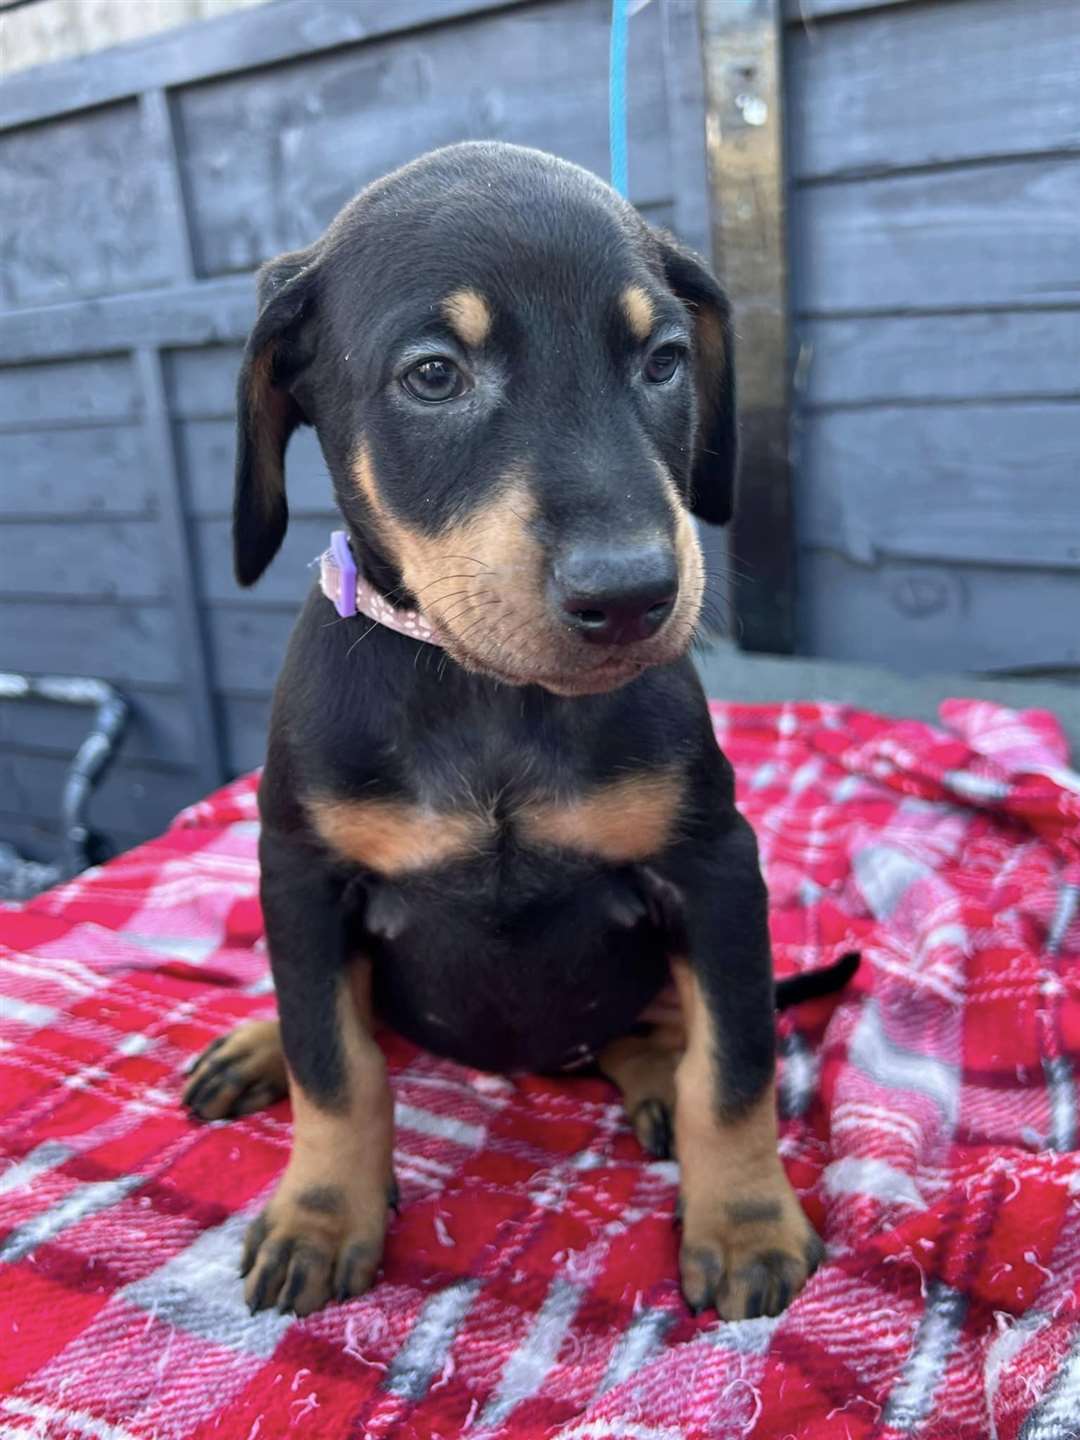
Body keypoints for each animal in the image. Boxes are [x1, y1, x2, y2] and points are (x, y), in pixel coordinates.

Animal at [185, 140, 823, 1319]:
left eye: (665, 360)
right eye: (435, 374)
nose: (632, 596)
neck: (489, 694)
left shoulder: (715, 867)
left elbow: (735, 1066)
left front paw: (748, 1221)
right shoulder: (299, 872)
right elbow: (336, 1065)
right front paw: (322, 1212)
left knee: (661, 1026)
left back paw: (652, 1073)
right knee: (338, 1016)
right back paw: (256, 1047)